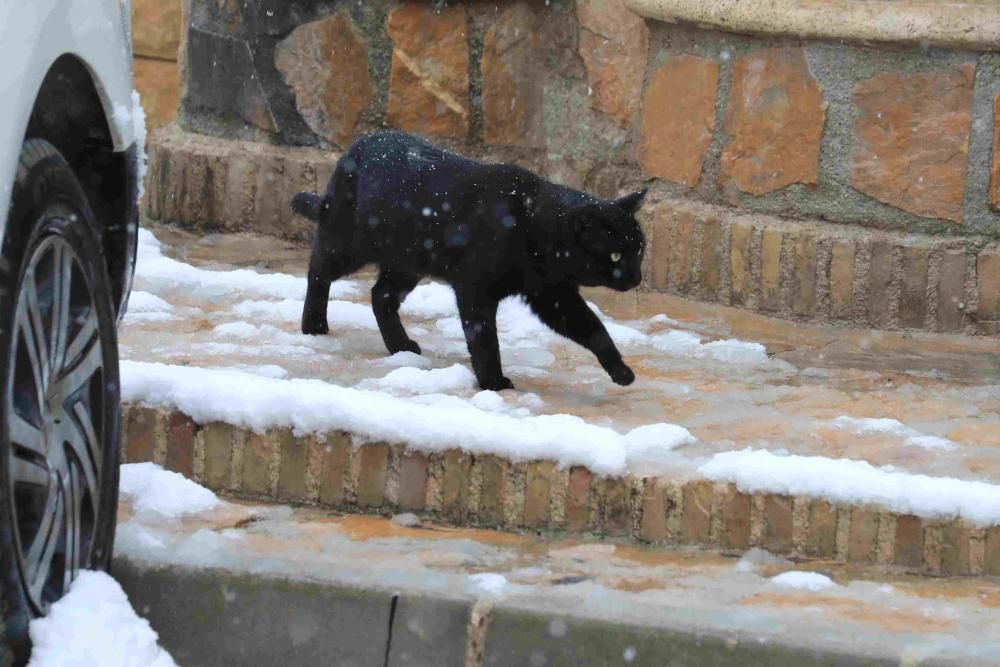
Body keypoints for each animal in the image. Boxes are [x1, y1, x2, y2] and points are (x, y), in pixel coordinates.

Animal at [292, 130, 644, 392]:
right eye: (616, 254)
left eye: (639, 250)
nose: (636, 277)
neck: (533, 225)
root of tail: (360, 142)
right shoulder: (477, 289)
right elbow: (484, 338)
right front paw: (493, 382)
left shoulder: (551, 295)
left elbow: (593, 328)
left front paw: (621, 370)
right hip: (346, 244)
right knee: (318, 272)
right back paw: (314, 325)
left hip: (408, 263)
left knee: (380, 296)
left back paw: (400, 346)